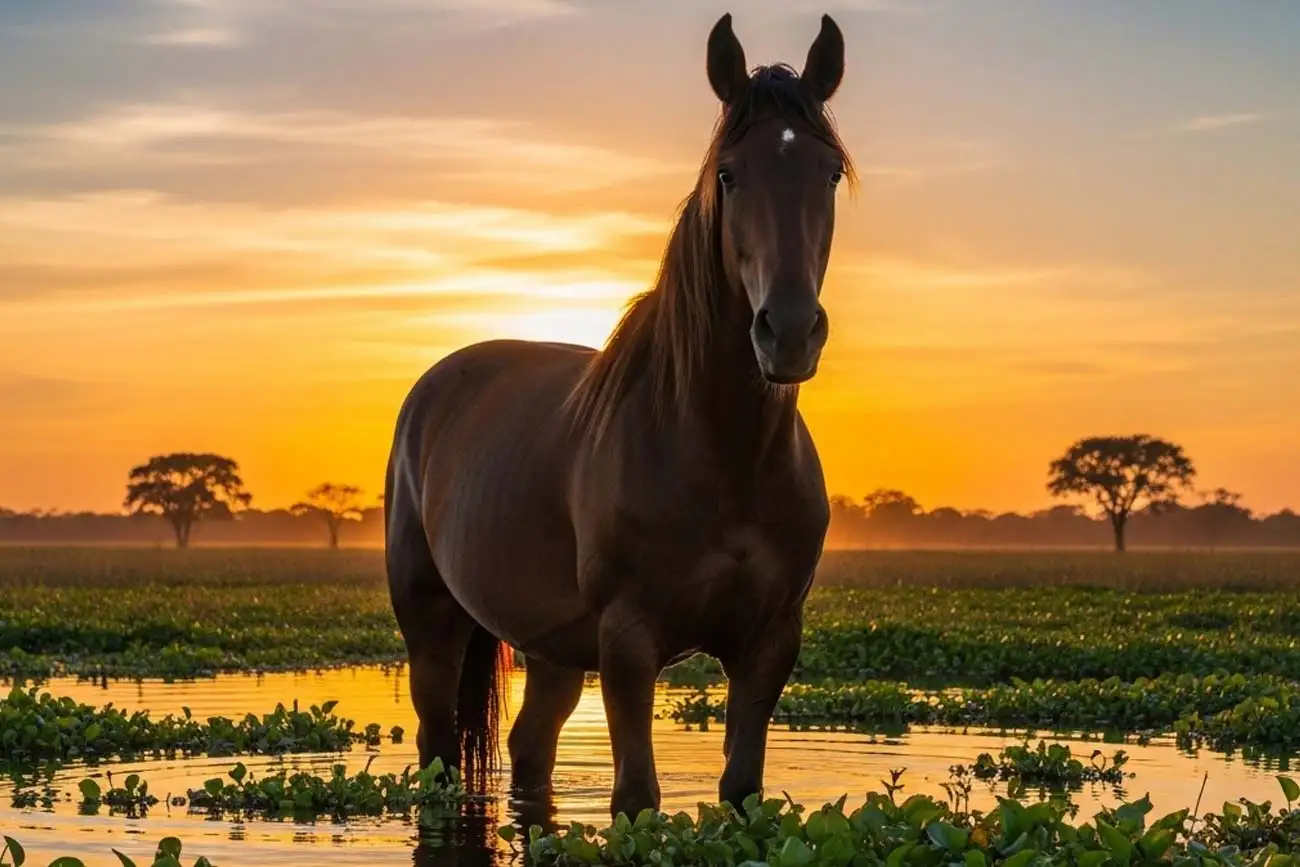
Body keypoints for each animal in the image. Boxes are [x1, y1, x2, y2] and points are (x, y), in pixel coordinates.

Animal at [384, 11, 855, 821]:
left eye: (828, 172)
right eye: (729, 174)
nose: (788, 331)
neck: (724, 456)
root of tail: (436, 388)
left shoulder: (768, 644)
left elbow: (742, 789)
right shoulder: (629, 642)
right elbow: (636, 797)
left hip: (550, 648)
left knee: (531, 747)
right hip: (432, 626)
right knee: (438, 749)